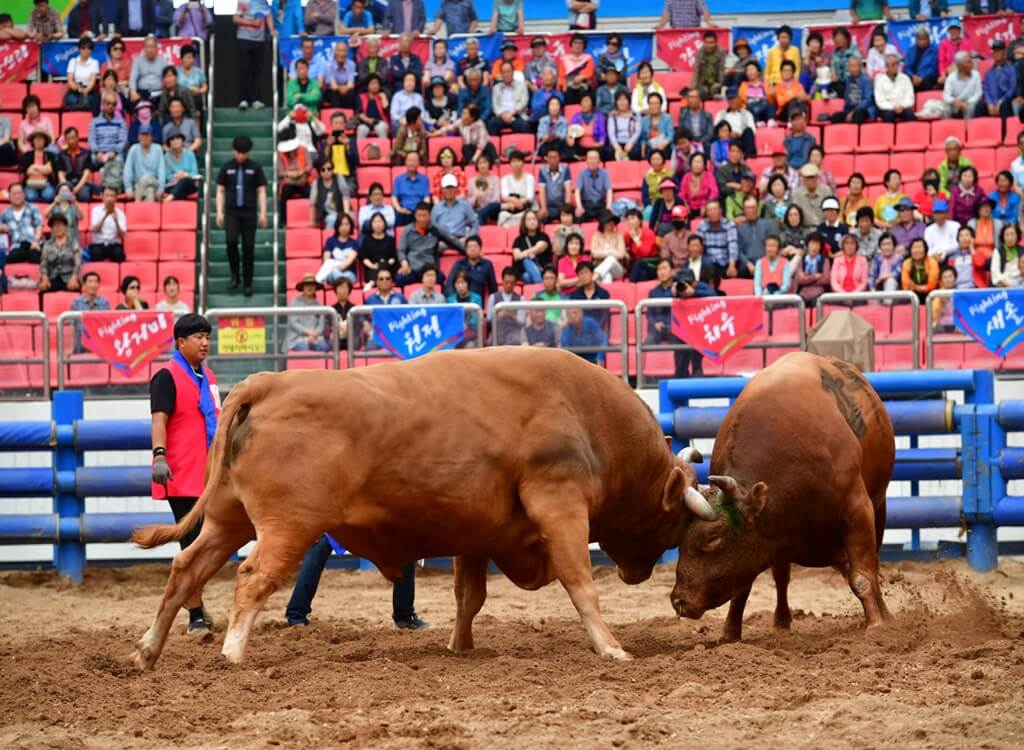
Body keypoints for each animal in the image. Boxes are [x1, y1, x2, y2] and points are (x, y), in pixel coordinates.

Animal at [132, 346, 716, 668]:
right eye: (675, 524)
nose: (641, 573)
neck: (585, 410)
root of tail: (268, 383)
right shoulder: (560, 504)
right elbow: (579, 582)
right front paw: (610, 647)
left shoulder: (479, 534)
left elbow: (469, 597)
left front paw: (461, 646)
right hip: (287, 526)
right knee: (252, 578)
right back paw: (231, 652)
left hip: (227, 519)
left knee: (187, 569)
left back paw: (148, 650)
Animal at [667, 350, 892, 639]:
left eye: (712, 540)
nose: (679, 600)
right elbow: (744, 586)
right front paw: (730, 633)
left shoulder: (858, 511)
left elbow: (863, 576)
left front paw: (875, 624)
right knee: (782, 577)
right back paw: (782, 621)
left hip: (879, 505)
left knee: (872, 564)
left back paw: (885, 613)